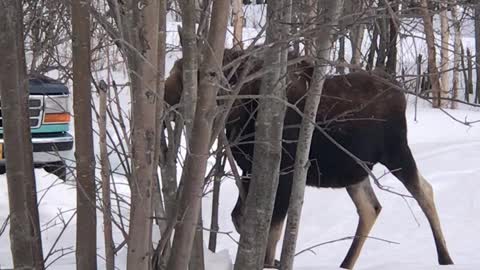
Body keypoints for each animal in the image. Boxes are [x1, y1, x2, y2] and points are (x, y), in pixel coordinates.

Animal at [165, 47, 454, 268]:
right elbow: (243, 218)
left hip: (396, 153)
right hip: (353, 170)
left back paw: (446, 258)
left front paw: (269, 261)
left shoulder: (283, 174)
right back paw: (345, 264)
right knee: (371, 207)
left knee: (424, 190)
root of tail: (400, 91)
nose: (167, 97)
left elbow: (271, 230)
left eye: (187, 74)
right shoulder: (249, 171)